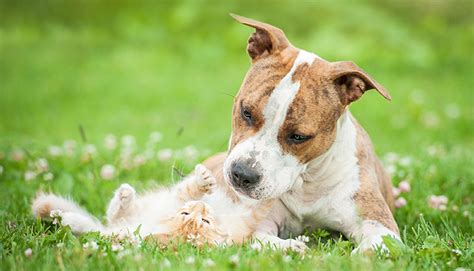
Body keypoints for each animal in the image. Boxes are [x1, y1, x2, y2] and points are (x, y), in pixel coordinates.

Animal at [31, 165, 272, 248]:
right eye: (186, 213)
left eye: (204, 221)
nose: (200, 206)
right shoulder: (177, 200)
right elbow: (187, 189)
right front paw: (202, 181)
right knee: (112, 216)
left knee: (102, 225)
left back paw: (67, 218)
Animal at [202, 13, 398, 254]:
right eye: (246, 112)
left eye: (299, 137)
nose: (242, 174)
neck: (306, 182)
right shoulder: (254, 223)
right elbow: (261, 239)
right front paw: (293, 247)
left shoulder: (379, 224)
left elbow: (376, 248)